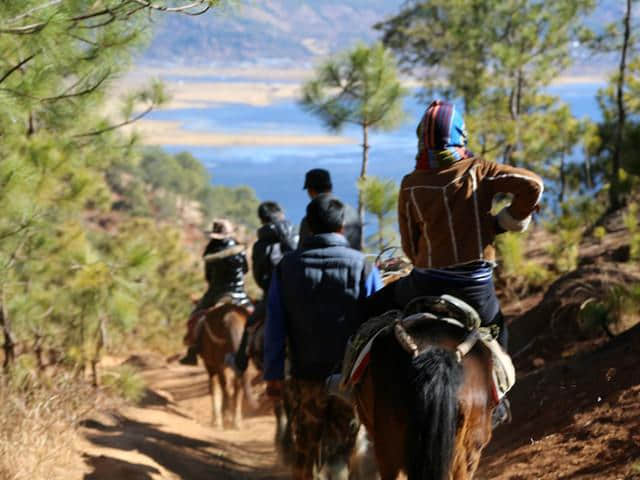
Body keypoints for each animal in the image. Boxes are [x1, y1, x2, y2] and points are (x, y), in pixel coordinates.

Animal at [196, 302, 256, 430]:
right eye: (224, 327)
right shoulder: (217, 356)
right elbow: (225, 385)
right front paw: (226, 420)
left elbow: (238, 385)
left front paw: (237, 423)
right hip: (210, 360)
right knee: (216, 384)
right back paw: (217, 422)